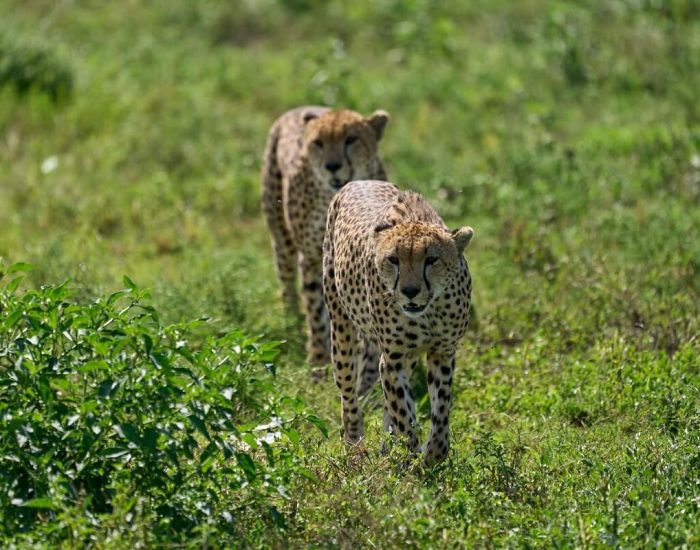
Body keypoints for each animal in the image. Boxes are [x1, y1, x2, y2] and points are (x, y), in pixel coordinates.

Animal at [261, 106, 390, 365]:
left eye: (351, 139)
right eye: (318, 142)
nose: (332, 165)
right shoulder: (312, 258)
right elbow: (314, 308)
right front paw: (319, 357)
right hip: (283, 240)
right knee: (287, 283)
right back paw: (292, 322)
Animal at [323, 179, 474, 463]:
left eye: (431, 259)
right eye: (393, 260)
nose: (410, 291)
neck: (428, 312)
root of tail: (359, 181)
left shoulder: (442, 352)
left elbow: (440, 410)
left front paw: (432, 454)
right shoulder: (392, 359)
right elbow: (403, 413)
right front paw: (410, 455)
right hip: (341, 329)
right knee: (348, 393)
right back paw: (355, 443)